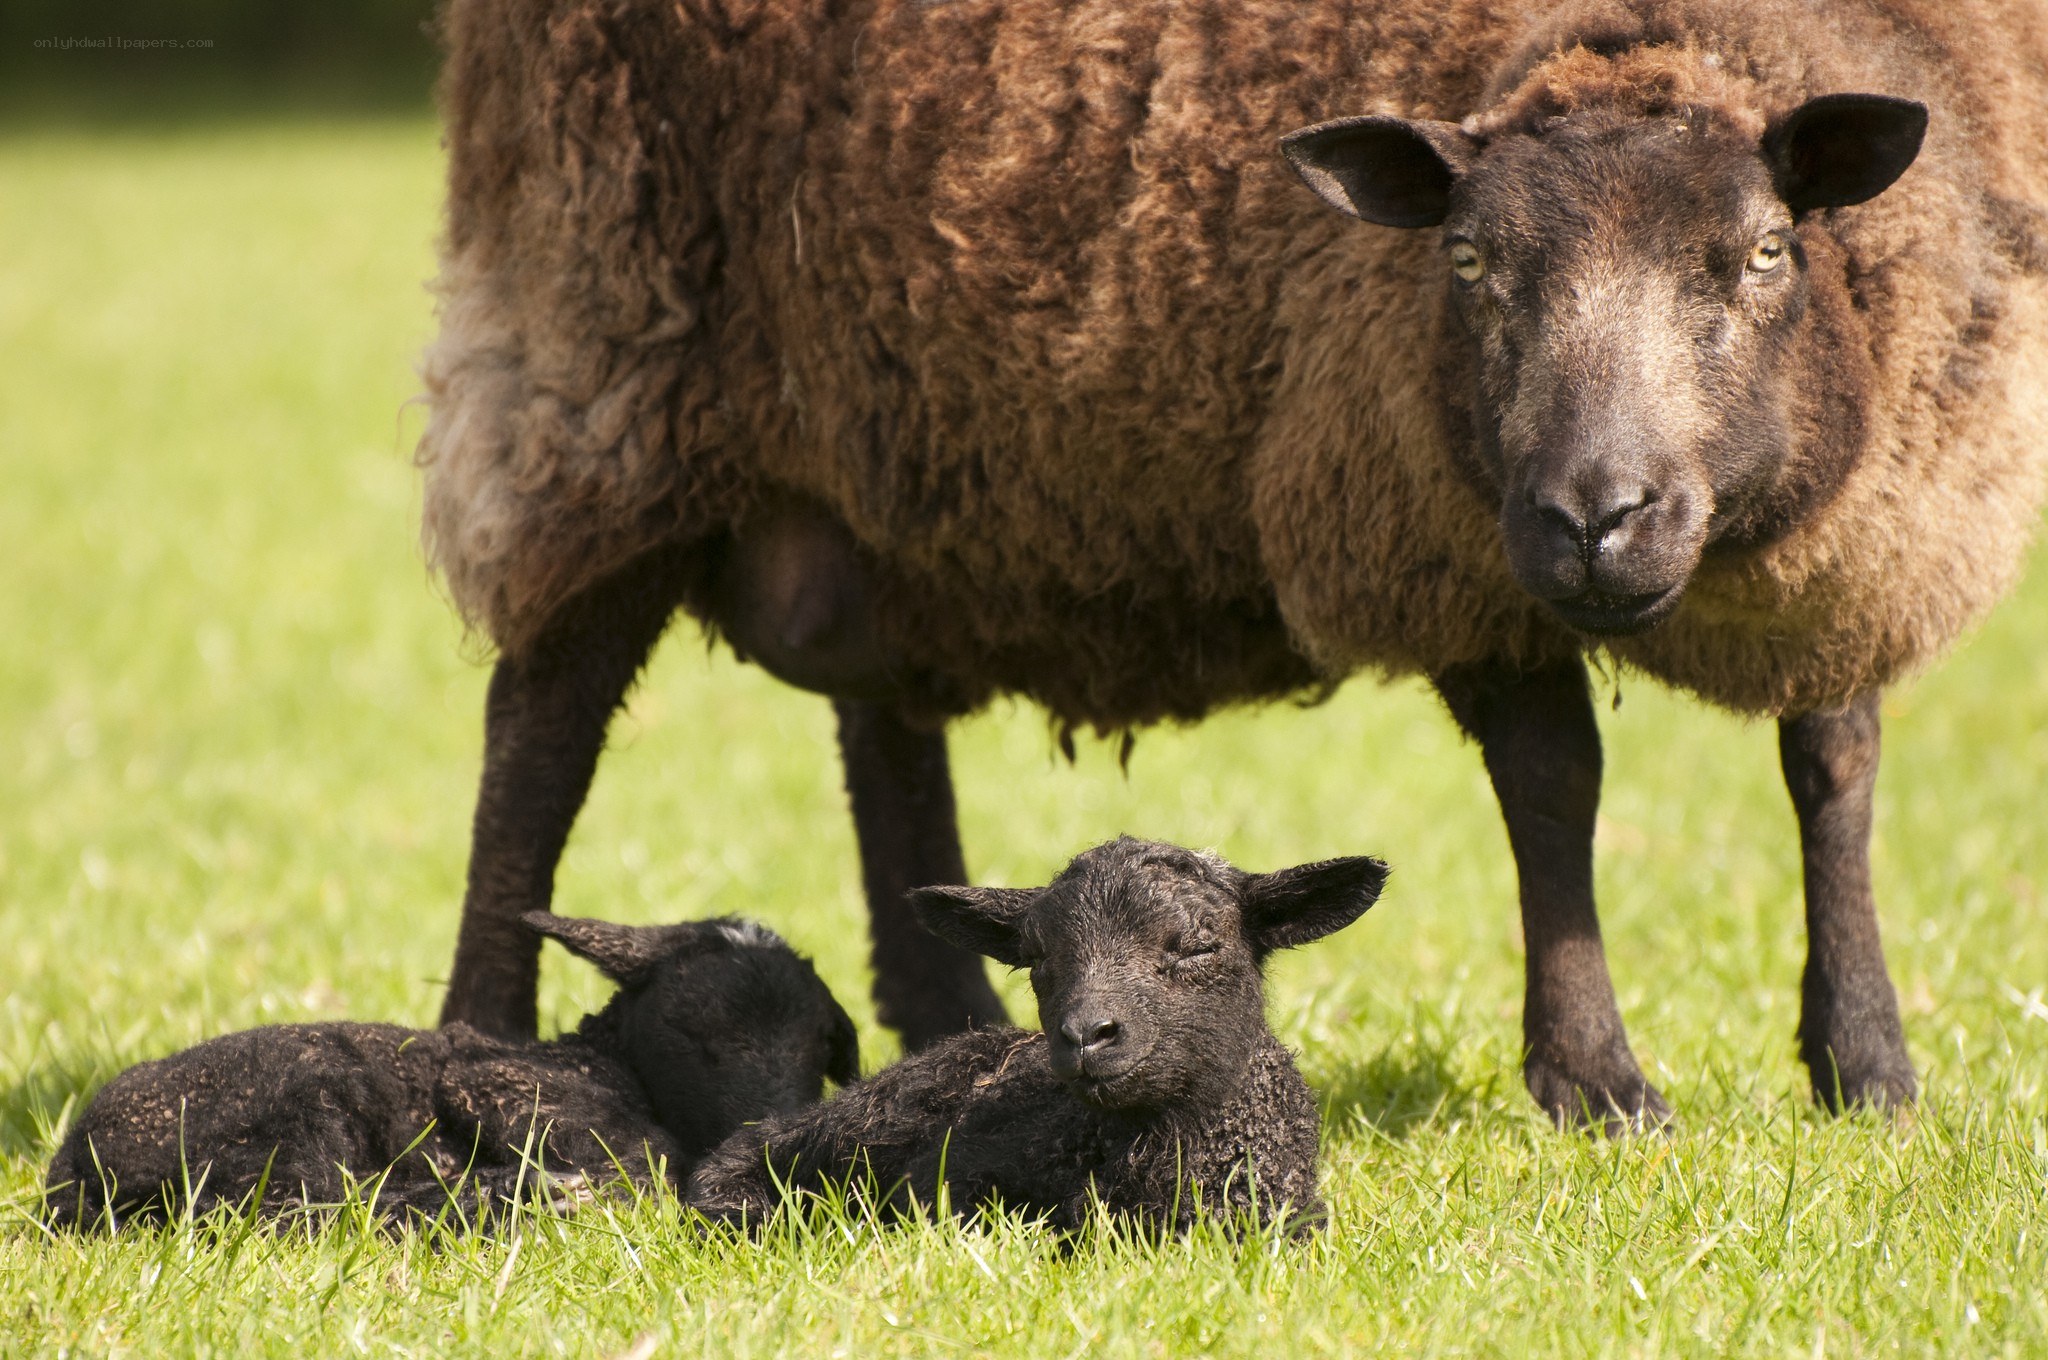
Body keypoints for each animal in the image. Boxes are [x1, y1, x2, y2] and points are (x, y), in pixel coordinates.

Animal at [43, 914, 857, 1229]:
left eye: (821, 1047)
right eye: (693, 1033)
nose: (767, 1126)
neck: (605, 1060)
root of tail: (73, 1169)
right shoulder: (499, 1086)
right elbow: (646, 1165)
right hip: (302, 1102)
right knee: (306, 1208)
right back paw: (508, 1199)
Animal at [419, 0, 2048, 1127]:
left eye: (1766, 251)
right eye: (1467, 263)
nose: (1596, 516)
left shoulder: (1865, 534)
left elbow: (1834, 768)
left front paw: (1866, 1066)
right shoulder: (1438, 529)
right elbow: (1553, 788)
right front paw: (1596, 1085)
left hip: (891, 448)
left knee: (883, 733)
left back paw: (949, 1020)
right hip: (601, 360)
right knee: (539, 728)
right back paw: (480, 1037)